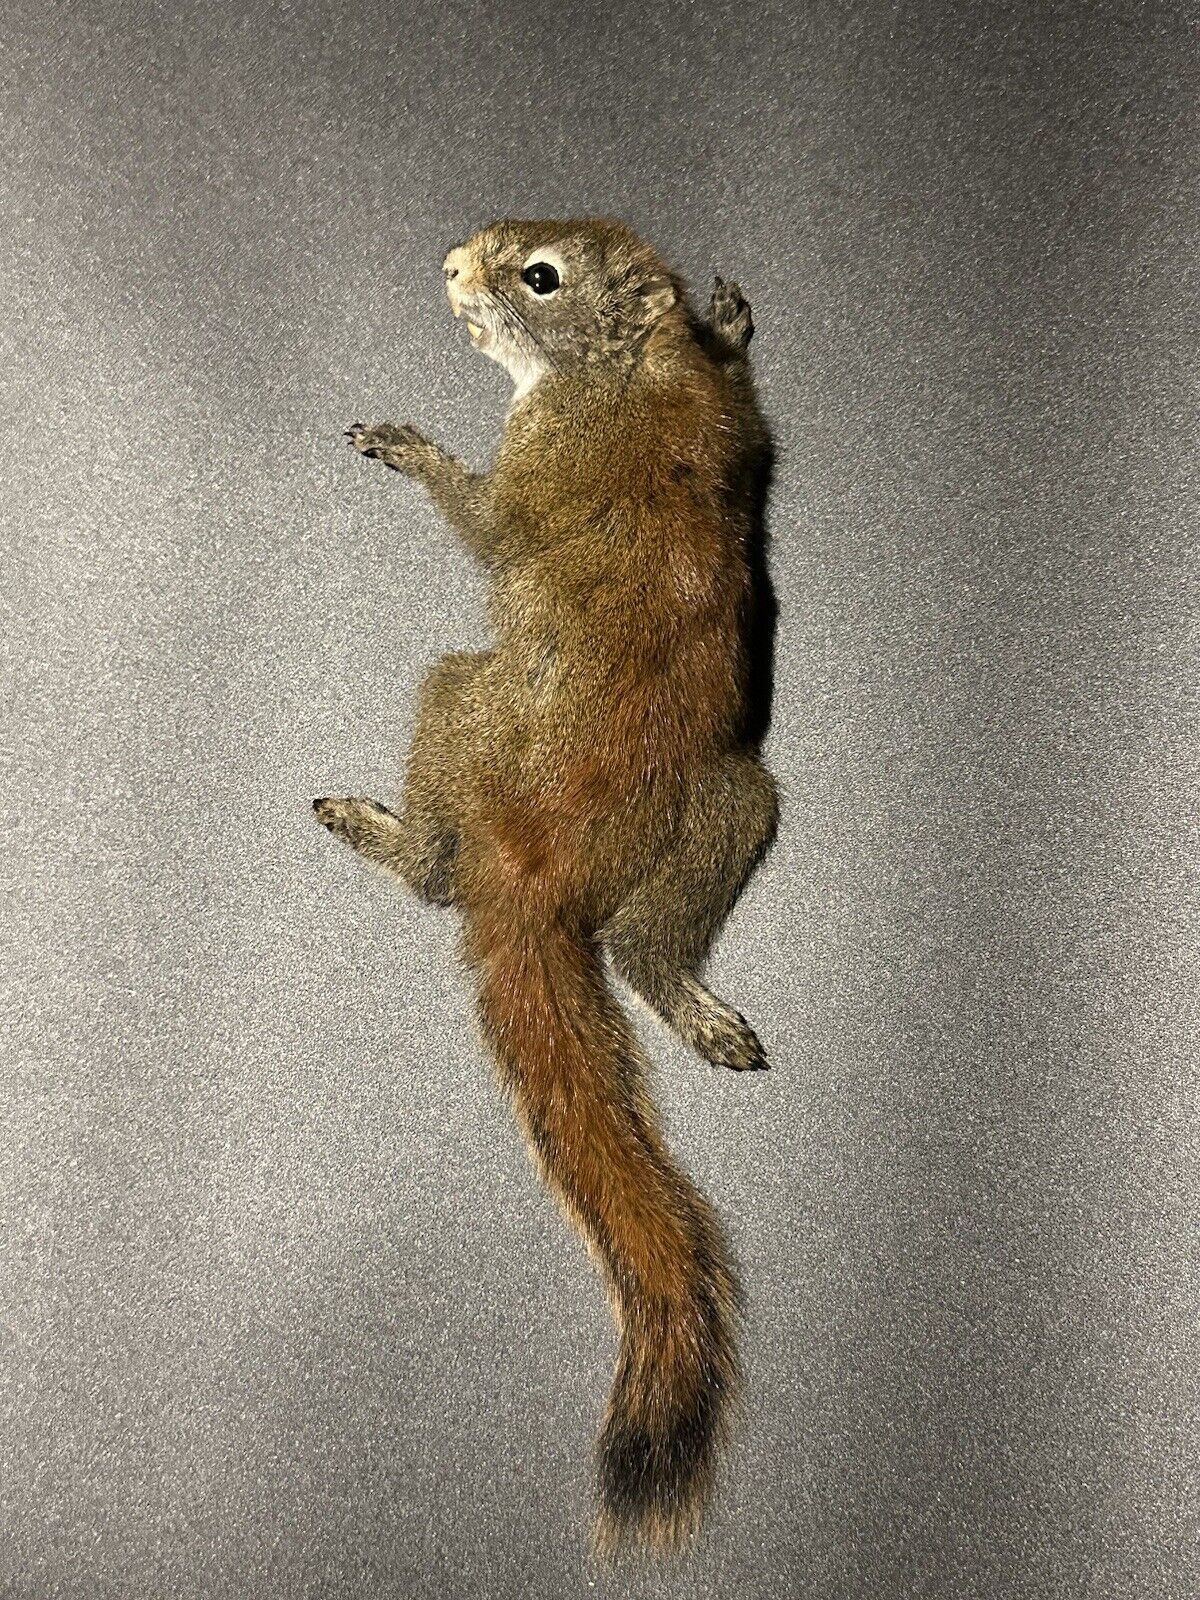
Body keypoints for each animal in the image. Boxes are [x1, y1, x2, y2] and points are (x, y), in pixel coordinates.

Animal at [314, 218, 778, 1555]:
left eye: (538, 276)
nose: (453, 261)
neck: (630, 370)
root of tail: (537, 875)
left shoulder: (539, 460)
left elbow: (483, 518)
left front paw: (409, 445)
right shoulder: (726, 421)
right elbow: (748, 409)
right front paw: (733, 316)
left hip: (455, 700)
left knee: (434, 875)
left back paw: (378, 827)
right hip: (732, 804)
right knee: (644, 949)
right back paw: (699, 1012)